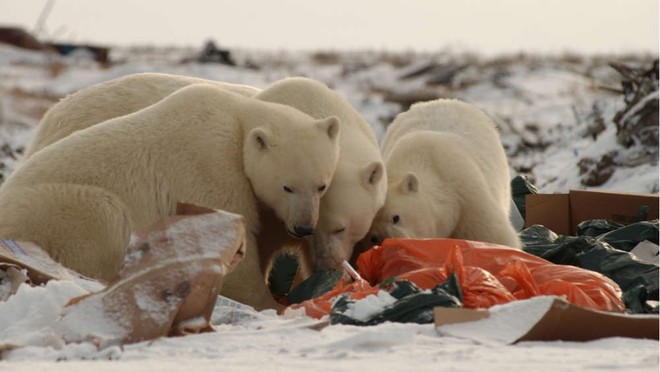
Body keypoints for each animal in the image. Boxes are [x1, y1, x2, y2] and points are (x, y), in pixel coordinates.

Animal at [0, 83, 340, 310]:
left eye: (322, 186)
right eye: (287, 187)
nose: (303, 227)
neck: (238, 118)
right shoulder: (210, 163)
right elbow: (226, 235)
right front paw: (272, 303)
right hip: (58, 208)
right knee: (104, 219)